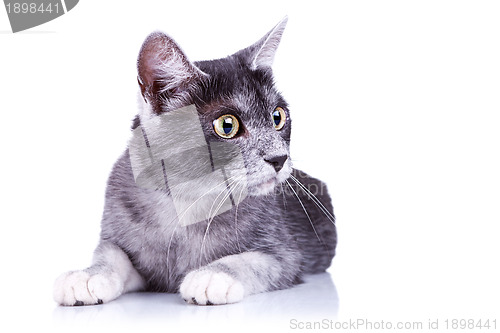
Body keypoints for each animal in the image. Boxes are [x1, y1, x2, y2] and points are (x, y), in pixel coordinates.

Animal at [52, 16, 338, 304]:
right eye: (227, 125)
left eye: (278, 117)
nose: (279, 158)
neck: (187, 202)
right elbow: (112, 253)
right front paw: (87, 275)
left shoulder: (285, 253)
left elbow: (253, 260)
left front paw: (213, 275)